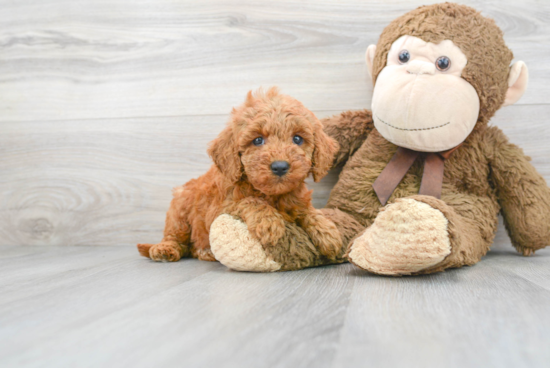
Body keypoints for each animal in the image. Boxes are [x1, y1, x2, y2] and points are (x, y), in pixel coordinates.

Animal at [138, 87, 342, 264]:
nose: (280, 166)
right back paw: (165, 249)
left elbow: (307, 211)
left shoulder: (297, 201)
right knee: (175, 237)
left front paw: (326, 231)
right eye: (258, 140)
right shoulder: (219, 208)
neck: (272, 195)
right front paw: (269, 222)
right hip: (179, 209)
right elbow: (249, 201)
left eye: (297, 139)